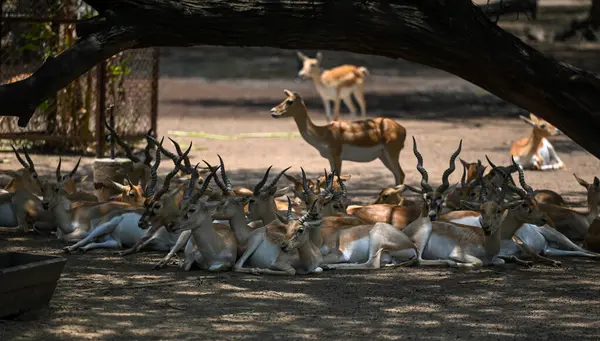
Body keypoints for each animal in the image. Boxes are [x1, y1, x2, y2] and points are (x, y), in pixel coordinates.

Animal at [272, 89, 408, 185]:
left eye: (290, 101)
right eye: (285, 99)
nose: (273, 111)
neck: (324, 133)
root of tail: (402, 128)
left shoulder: (337, 157)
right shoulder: (330, 158)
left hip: (391, 153)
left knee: (400, 174)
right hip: (383, 156)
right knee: (397, 175)